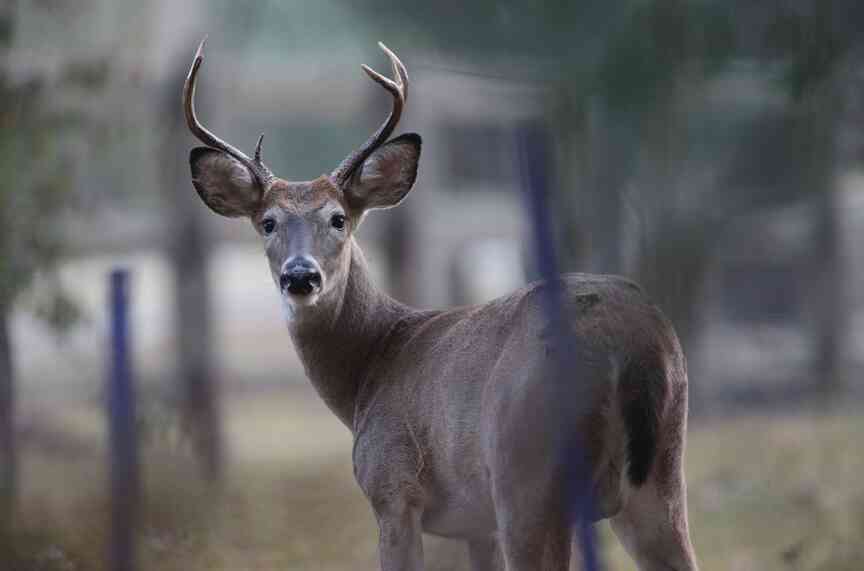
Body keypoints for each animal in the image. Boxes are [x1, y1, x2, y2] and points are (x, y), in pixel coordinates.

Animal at [182, 38, 699, 571]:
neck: (371, 365)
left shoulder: (393, 489)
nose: (301, 276)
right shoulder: (474, 524)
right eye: (267, 222)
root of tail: (633, 342)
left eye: (338, 218)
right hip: (660, 479)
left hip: (526, 476)